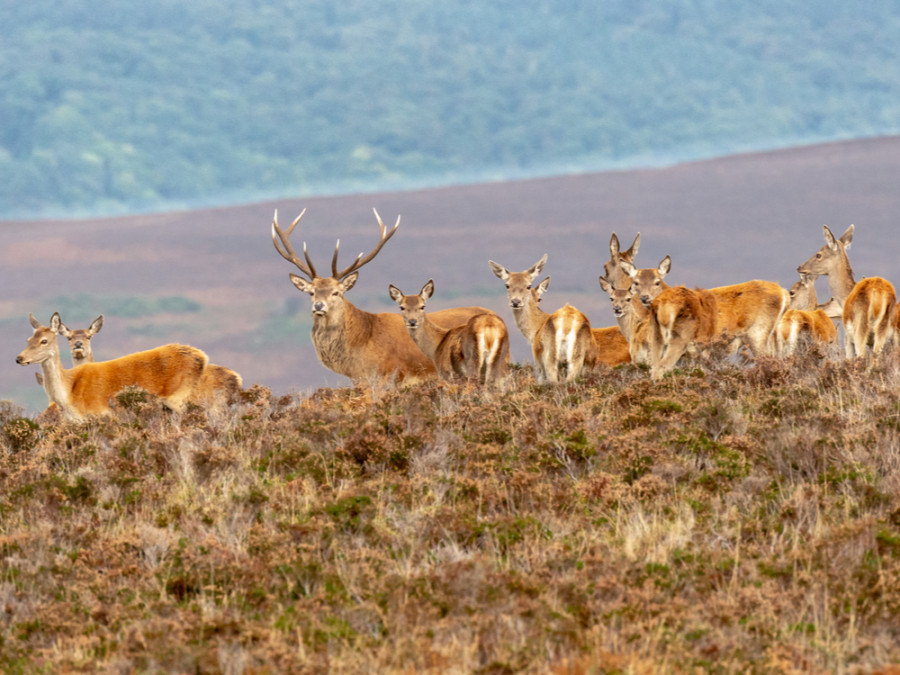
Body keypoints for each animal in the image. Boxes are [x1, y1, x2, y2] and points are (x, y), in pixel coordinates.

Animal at [17, 312, 207, 420]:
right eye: (28, 339)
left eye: (44, 341)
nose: (19, 358)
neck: (68, 396)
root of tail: (202, 357)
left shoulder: (101, 414)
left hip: (180, 398)